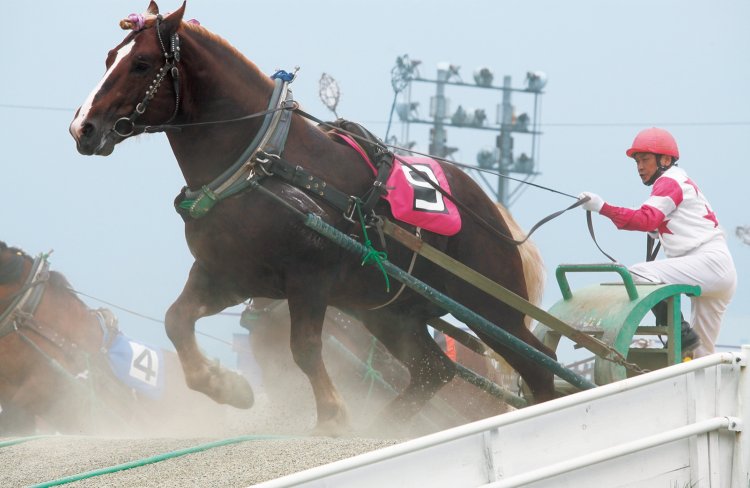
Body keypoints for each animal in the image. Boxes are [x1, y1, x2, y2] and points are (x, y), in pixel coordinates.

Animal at [69, 1, 555, 435]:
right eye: (110, 58)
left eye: (141, 63)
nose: (83, 127)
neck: (262, 162)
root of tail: (490, 210)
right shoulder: (228, 275)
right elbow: (176, 320)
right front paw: (226, 386)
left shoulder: (308, 278)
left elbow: (303, 348)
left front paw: (333, 415)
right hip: (391, 311)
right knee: (433, 369)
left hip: (492, 308)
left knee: (538, 367)